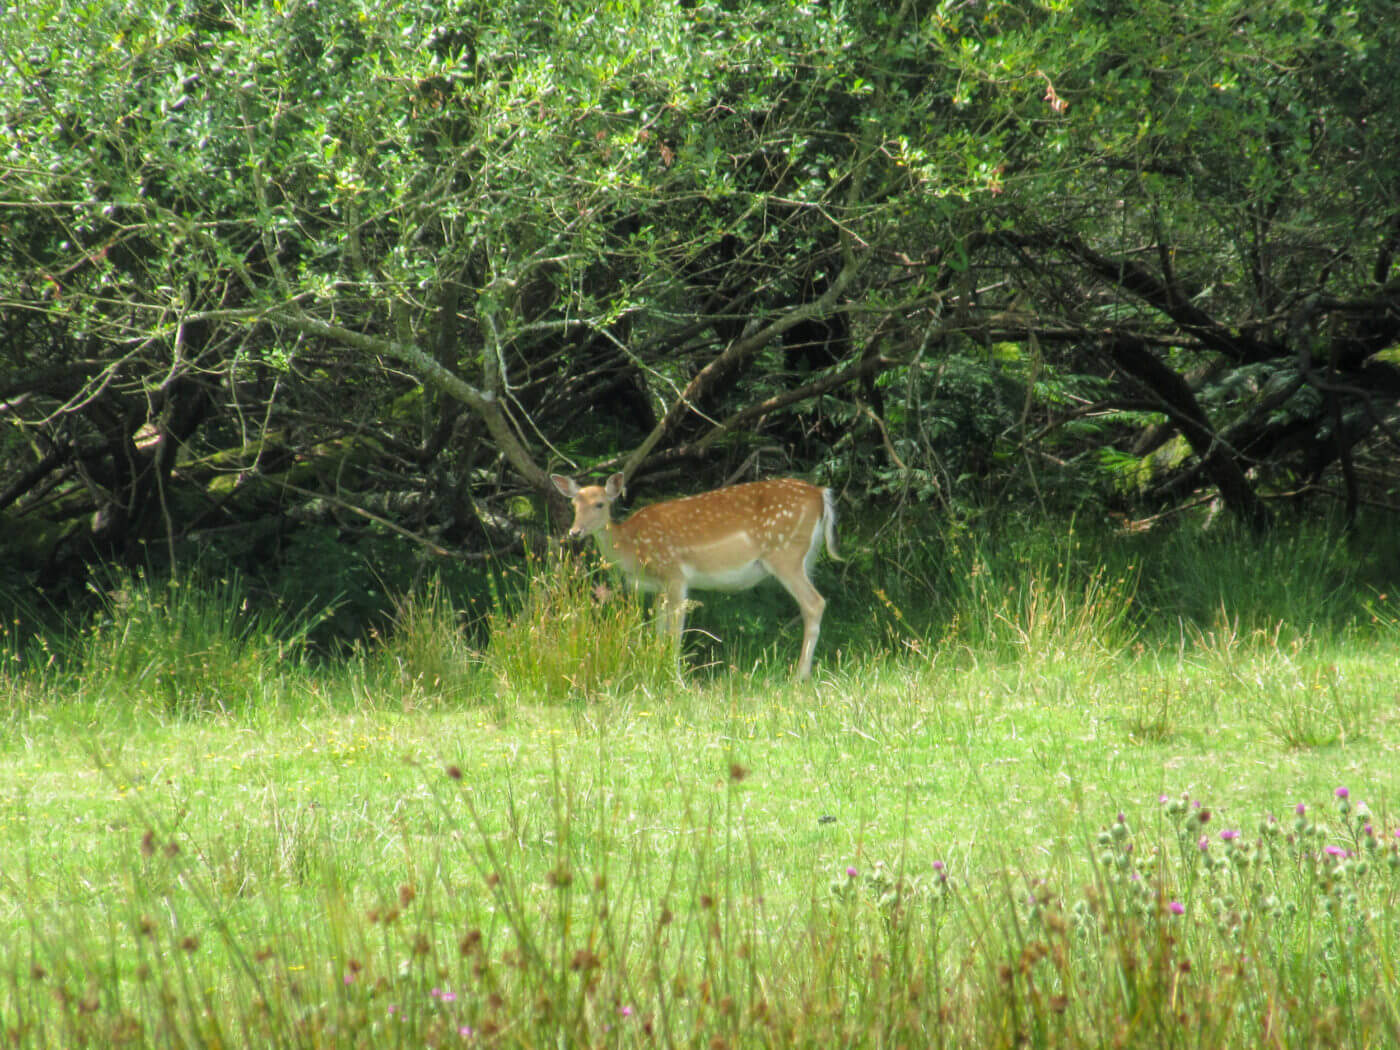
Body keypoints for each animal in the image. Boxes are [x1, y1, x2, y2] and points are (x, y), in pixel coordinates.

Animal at [550, 472, 840, 679]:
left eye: (600, 504)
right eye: (574, 503)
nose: (574, 532)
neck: (631, 547)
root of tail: (820, 493)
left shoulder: (674, 573)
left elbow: (675, 630)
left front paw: (675, 678)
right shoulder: (659, 588)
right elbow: (659, 628)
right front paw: (654, 669)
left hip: (786, 554)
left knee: (814, 603)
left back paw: (799, 676)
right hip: (806, 558)